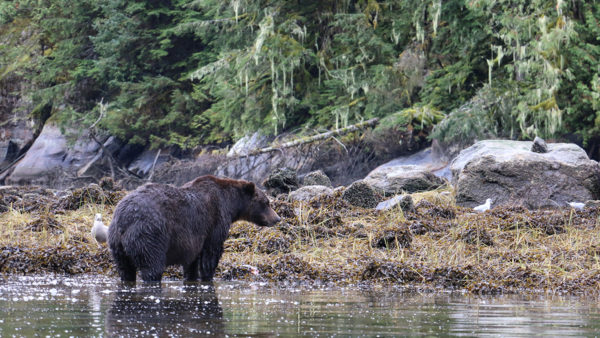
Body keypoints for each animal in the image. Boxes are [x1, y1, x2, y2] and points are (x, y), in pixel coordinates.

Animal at [108, 174, 282, 282]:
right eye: (266, 202)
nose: (277, 218)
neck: (231, 204)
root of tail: (123, 220)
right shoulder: (215, 220)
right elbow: (211, 252)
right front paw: (208, 276)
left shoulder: (194, 238)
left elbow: (192, 260)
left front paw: (191, 276)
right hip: (149, 234)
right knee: (152, 266)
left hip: (117, 245)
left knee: (125, 270)